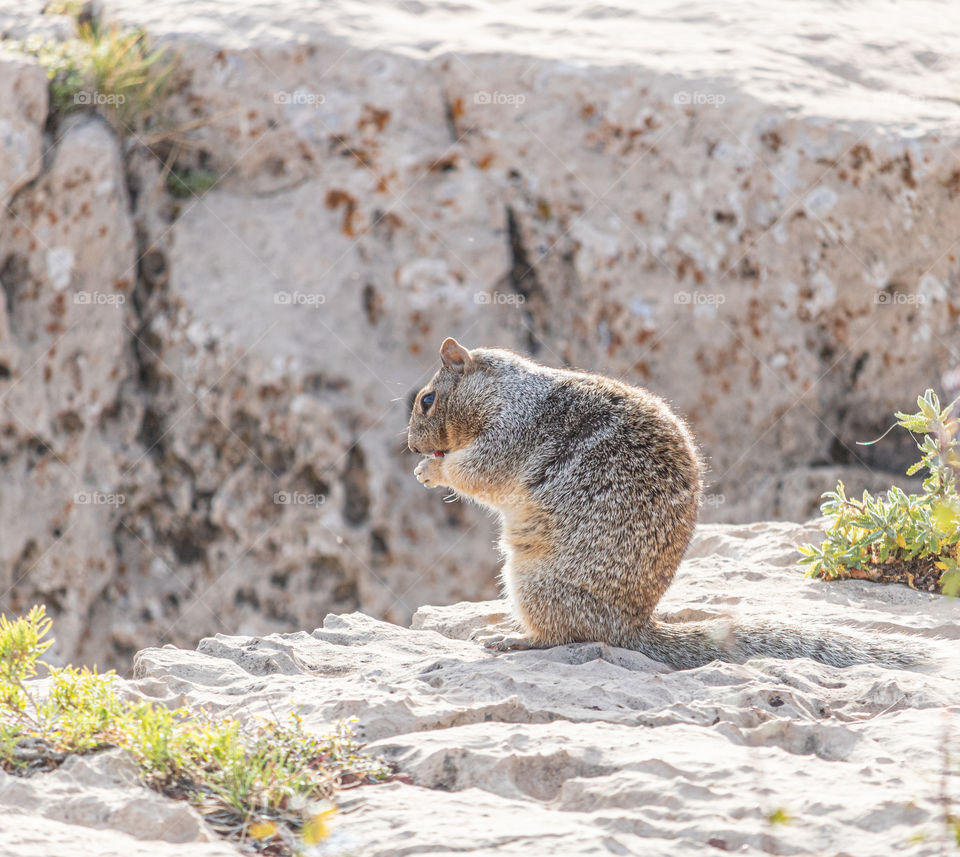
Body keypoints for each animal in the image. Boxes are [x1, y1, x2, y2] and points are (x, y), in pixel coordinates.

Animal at [407, 337, 924, 670]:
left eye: (426, 399)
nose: (411, 447)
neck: (506, 392)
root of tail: (633, 627)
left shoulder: (509, 434)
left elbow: (478, 471)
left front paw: (433, 472)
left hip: (532, 583)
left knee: (565, 636)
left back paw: (510, 639)